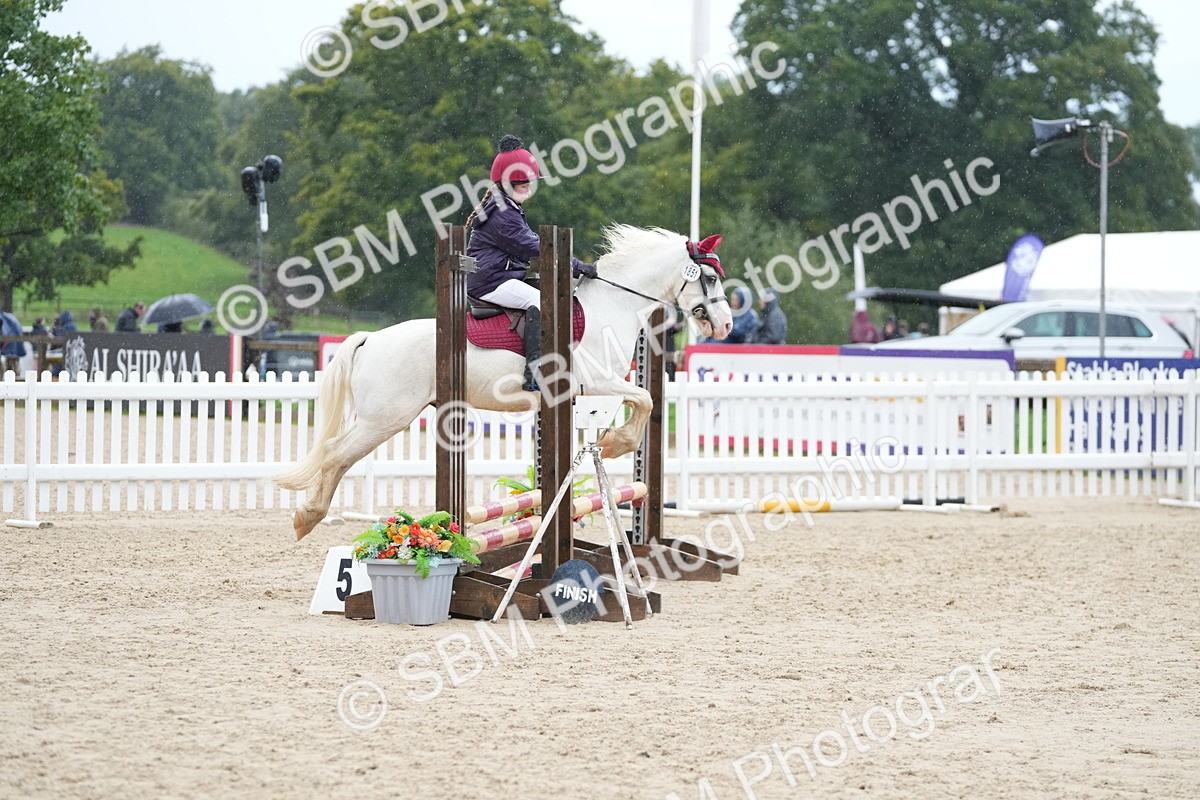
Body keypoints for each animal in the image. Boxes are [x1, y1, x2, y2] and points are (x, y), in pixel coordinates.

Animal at [276, 225, 734, 539]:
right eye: (710, 279)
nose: (726, 325)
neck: (612, 304)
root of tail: (370, 338)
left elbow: (639, 404)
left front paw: (609, 444)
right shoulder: (598, 382)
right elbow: (645, 399)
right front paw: (615, 444)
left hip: (386, 419)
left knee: (340, 458)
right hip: (386, 418)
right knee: (335, 454)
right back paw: (307, 518)